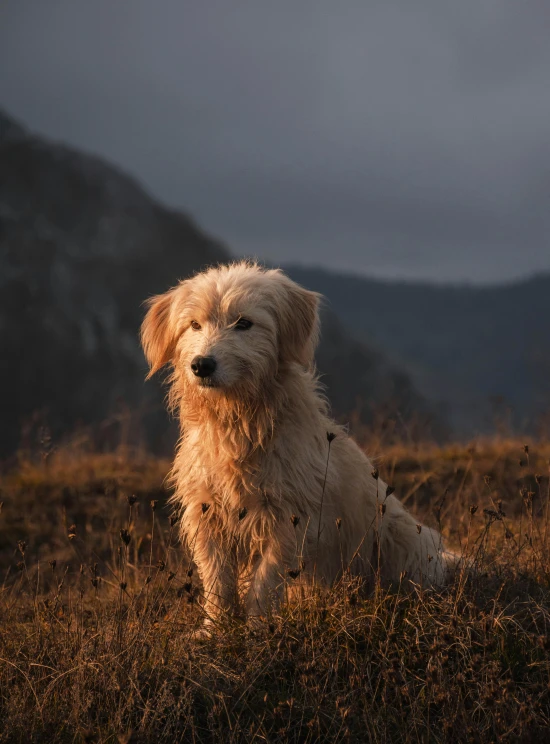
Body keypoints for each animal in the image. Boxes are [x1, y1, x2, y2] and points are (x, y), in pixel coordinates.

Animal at [141, 262, 452, 628]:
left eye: (243, 323)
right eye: (194, 324)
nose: (202, 365)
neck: (239, 425)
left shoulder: (289, 517)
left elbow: (266, 578)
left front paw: (257, 627)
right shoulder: (207, 513)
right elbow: (217, 579)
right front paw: (215, 629)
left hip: (402, 542)